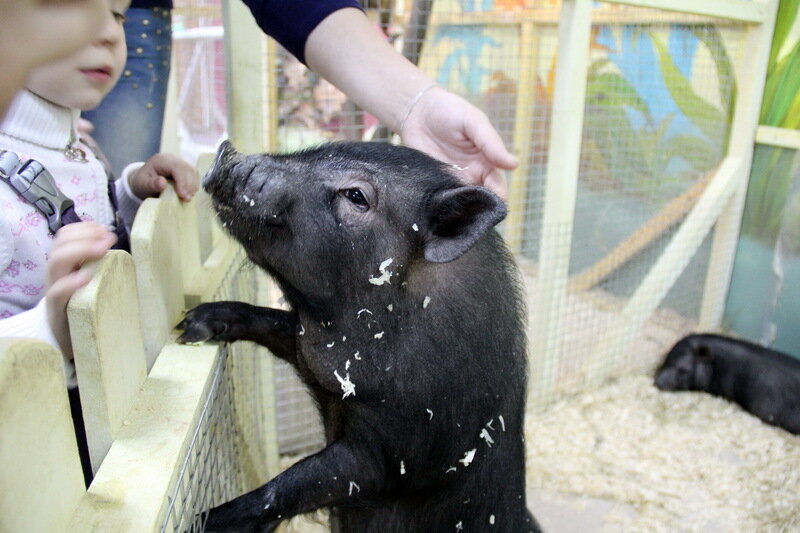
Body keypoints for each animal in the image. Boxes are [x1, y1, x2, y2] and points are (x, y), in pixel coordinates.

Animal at [177, 139, 540, 528]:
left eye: (356, 196)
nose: (228, 152)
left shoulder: (399, 448)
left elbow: (297, 483)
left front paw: (205, 520)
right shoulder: (315, 355)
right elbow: (274, 324)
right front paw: (191, 325)